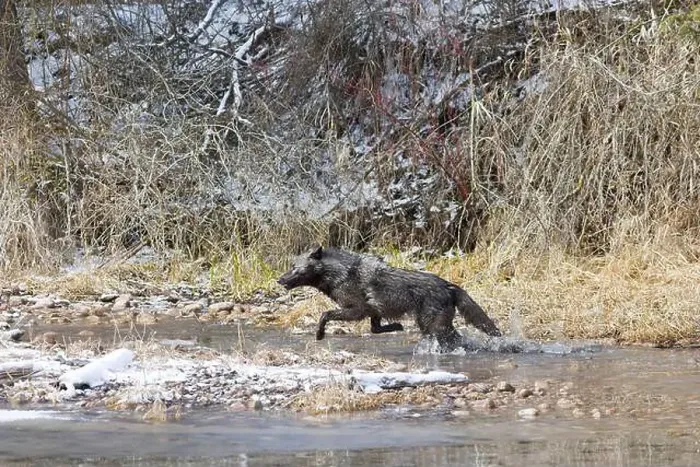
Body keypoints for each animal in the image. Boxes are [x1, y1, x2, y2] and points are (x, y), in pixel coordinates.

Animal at [277, 245, 501, 351]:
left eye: (295, 268)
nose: (279, 280)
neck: (340, 273)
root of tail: (448, 285)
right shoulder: (374, 313)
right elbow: (375, 329)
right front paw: (397, 327)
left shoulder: (357, 310)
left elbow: (325, 314)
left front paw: (319, 334)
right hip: (431, 325)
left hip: (434, 327)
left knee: (456, 339)